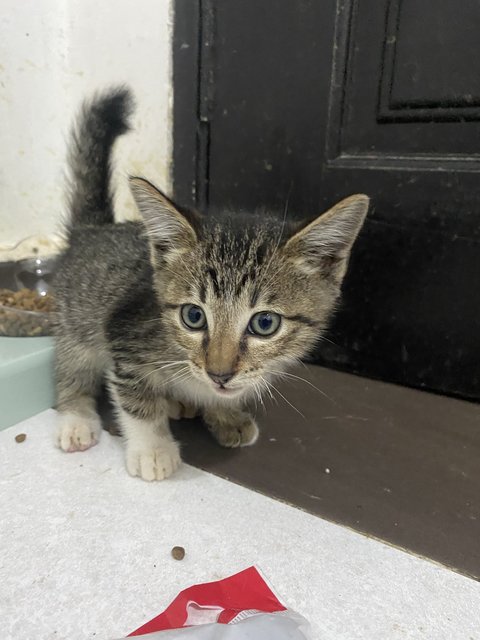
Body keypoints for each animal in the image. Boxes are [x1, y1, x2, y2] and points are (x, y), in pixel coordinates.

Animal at [54, 89, 372, 480]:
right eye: (193, 316)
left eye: (265, 323)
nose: (218, 373)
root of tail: (93, 229)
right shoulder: (123, 334)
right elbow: (136, 398)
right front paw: (152, 448)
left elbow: (220, 393)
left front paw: (225, 414)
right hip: (76, 321)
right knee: (72, 366)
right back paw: (76, 418)